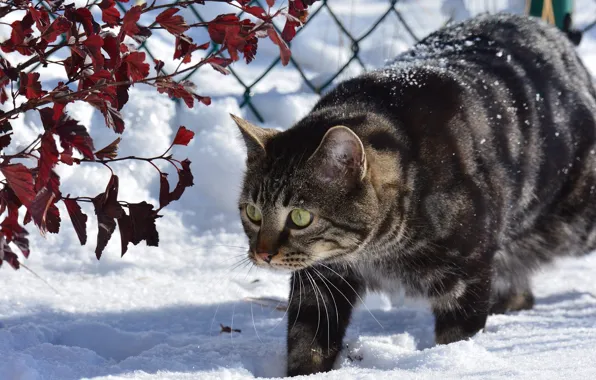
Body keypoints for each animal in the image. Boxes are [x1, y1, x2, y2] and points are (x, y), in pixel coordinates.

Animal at [232, 12, 596, 378]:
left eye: (300, 217)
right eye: (252, 213)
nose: (262, 253)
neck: (377, 251)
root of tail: (554, 33)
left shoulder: (468, 275)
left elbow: (456, 339)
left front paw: (450, 363)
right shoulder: (321, 279)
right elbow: (306, 340)